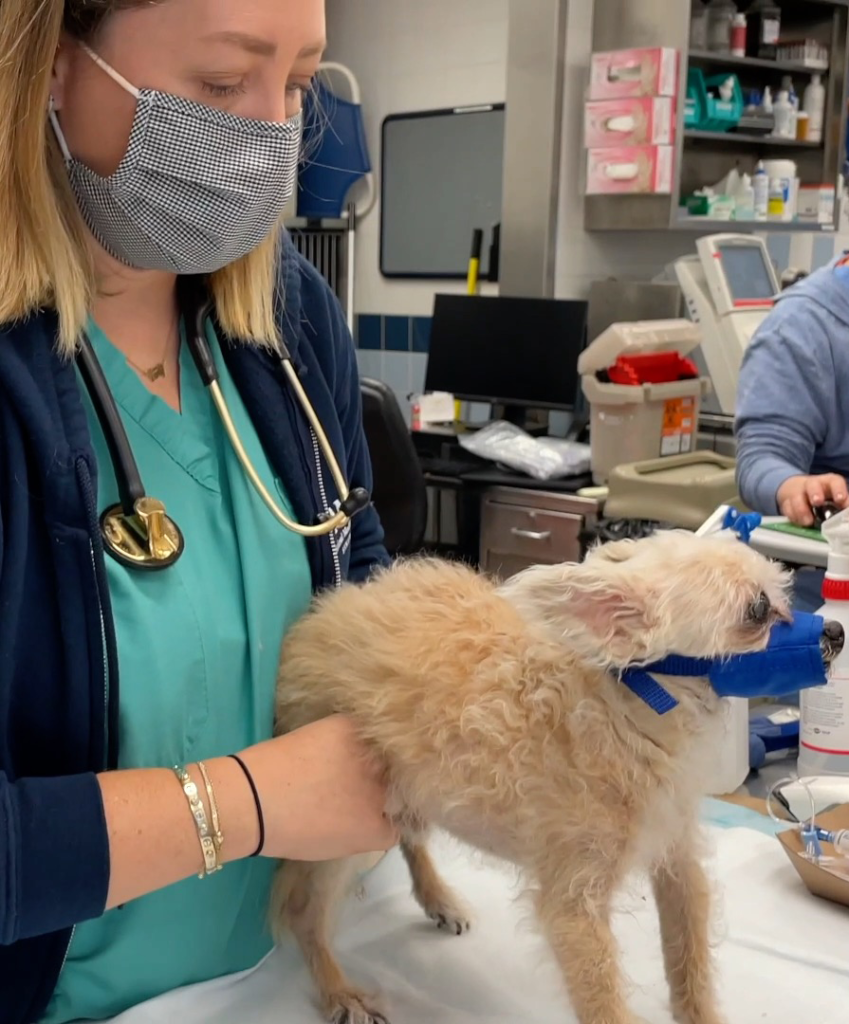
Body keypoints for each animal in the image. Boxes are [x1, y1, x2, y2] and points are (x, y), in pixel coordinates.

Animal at [270, 536, 835, 1024]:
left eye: (782, 591)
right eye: (757, 611)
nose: (835, 632)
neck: (630, 706)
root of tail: (328, 609)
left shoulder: (679, 861)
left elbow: (689, 960)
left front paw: (701, 1014)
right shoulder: (573, 909)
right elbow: (603, 1000)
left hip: (409, 792)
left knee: (411, 837)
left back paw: (437, 897)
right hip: (350, 821)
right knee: (300, 909)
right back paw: (337, 988)